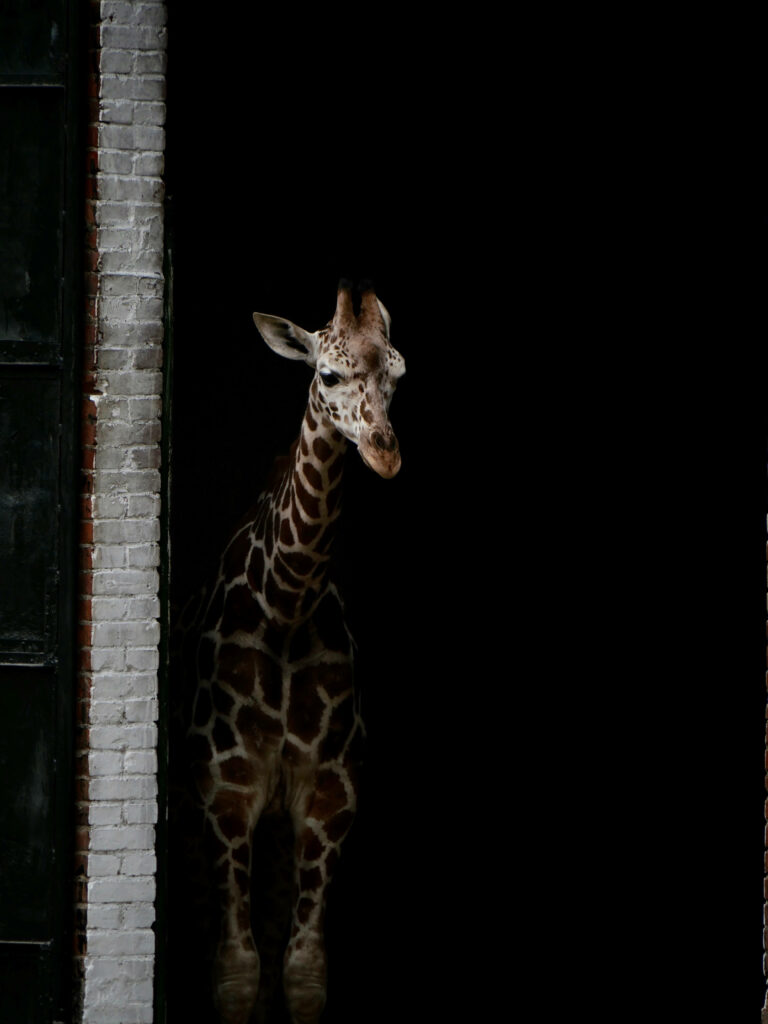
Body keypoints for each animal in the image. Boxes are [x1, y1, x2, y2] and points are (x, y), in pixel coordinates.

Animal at [184, 281, 405, 1024]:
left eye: (399, 375)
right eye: (327, 375)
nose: (385, 454)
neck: (286, 608)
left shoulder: (331, 792)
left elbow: (303, 971)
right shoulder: (225, 789)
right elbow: (236, 972)